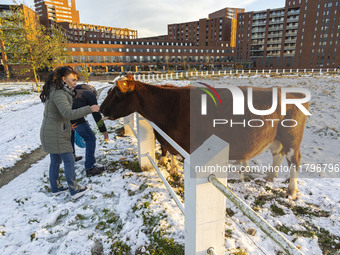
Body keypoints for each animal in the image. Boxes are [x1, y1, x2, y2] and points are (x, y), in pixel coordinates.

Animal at [100, 74, 308, 198]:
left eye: (117, 93)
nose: (101, 109)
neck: (170, 106)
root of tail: (293, 93)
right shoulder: (172, 141)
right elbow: (170, 153)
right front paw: (171, 169)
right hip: (276, 139)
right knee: (278, 154)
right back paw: (270, 177)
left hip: (292, 139)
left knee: (294, 161)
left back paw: (291, 191)